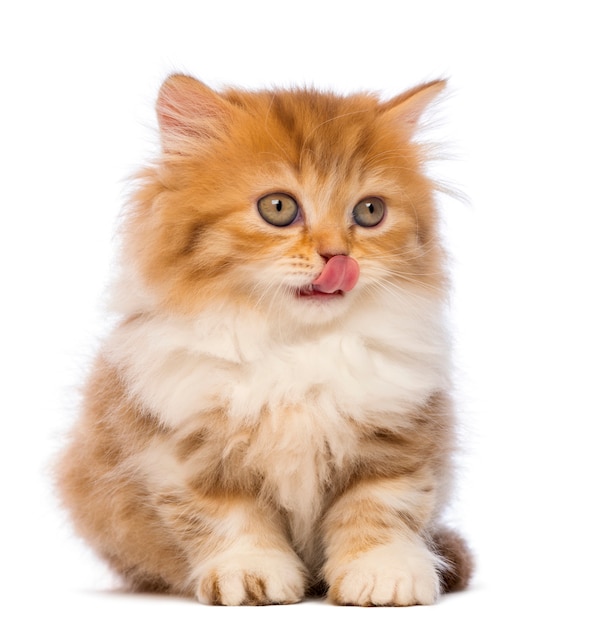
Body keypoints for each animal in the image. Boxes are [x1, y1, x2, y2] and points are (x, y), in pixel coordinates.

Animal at [57, 74, 472, 604]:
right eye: (278, 207)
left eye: (370, 211)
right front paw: (250, 575)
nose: (338, 257)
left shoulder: (397, 435)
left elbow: (382, 508)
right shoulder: (188, 449)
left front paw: (384, 573)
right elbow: (227, 519)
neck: (295, 344)